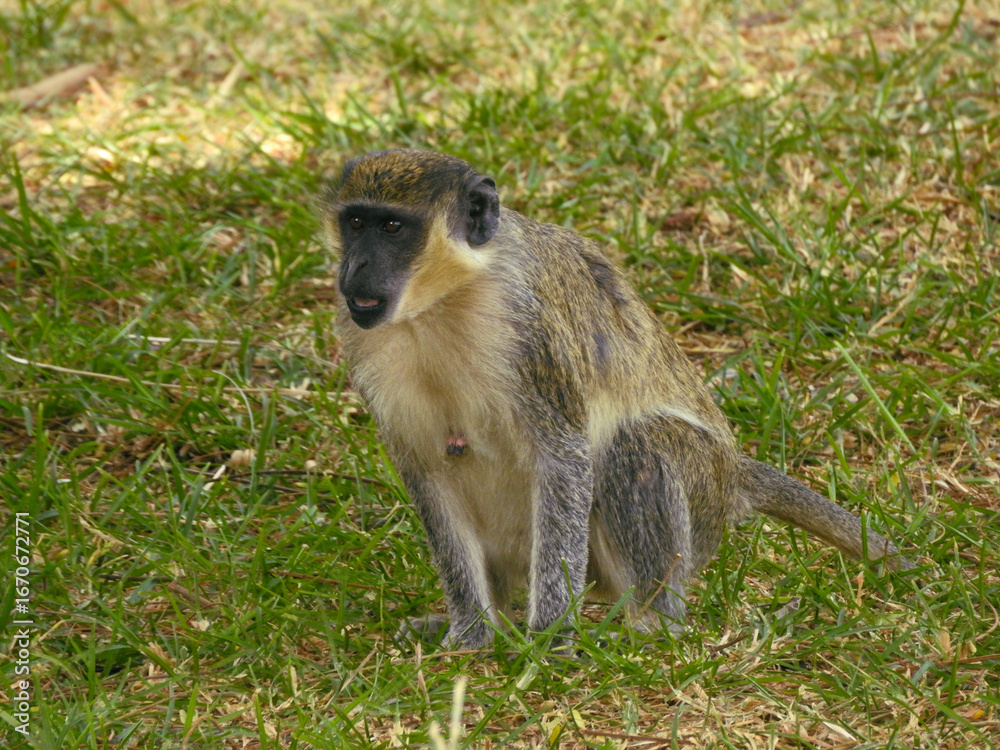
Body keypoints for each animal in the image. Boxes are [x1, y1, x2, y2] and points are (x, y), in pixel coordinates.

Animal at [321, 148, 911, 650]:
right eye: (355, 224)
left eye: (393, 227)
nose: (354, 269)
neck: (441, 304)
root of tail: (732, 473)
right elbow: (429, 473)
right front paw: (470, 634)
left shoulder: (533, 335)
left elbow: (563, 459)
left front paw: (549, 638)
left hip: (700, 501)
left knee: (639, 445)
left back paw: (649, 624)